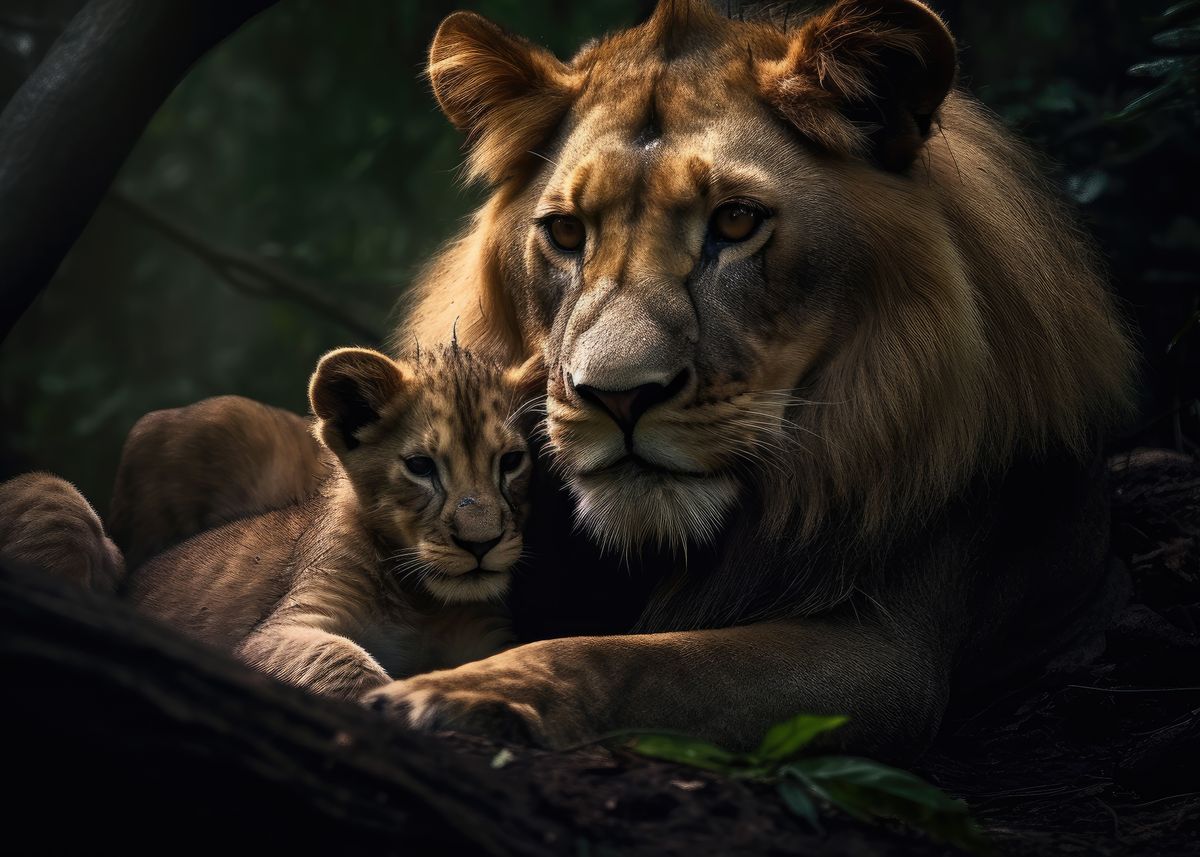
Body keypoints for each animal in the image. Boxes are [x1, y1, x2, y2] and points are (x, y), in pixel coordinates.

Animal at [115, 0, 1136, 759]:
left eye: (735, 221)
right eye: (567, 233)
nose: (616, 395)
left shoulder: (888, 647)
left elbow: (648, 659)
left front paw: (462, 693)